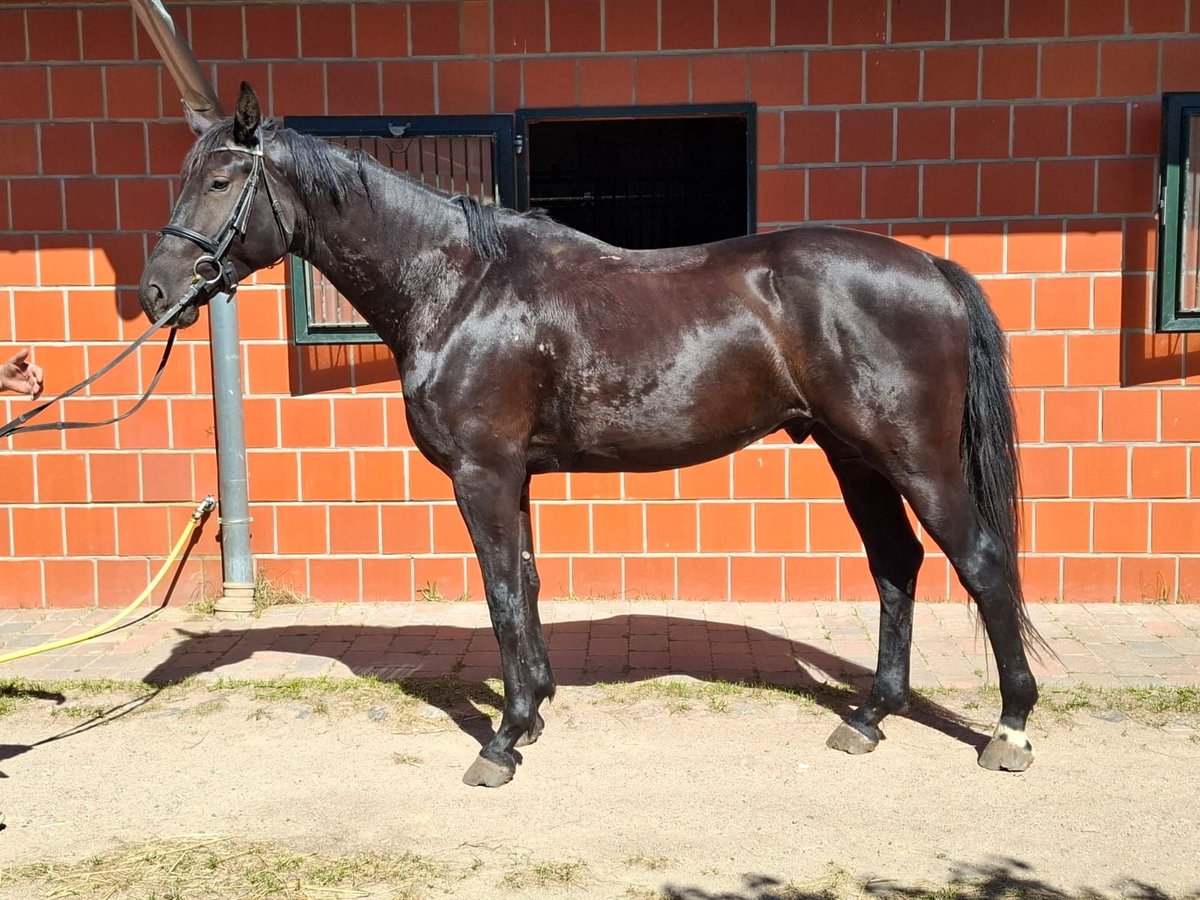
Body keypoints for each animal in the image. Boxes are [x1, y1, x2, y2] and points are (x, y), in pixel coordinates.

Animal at [139, 82, 1042, 787]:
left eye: (220, 179)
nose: (155, 292)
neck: (461, 288)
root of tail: (932, 268)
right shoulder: (512, 476)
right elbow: (528, 586)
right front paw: (533, 713)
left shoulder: (482, 474)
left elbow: (503, 594)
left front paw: (501, 741)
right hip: (854, 456)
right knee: (896, 564)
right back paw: (868, 718)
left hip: (916, 459)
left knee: (982, 563)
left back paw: (1009, 730)